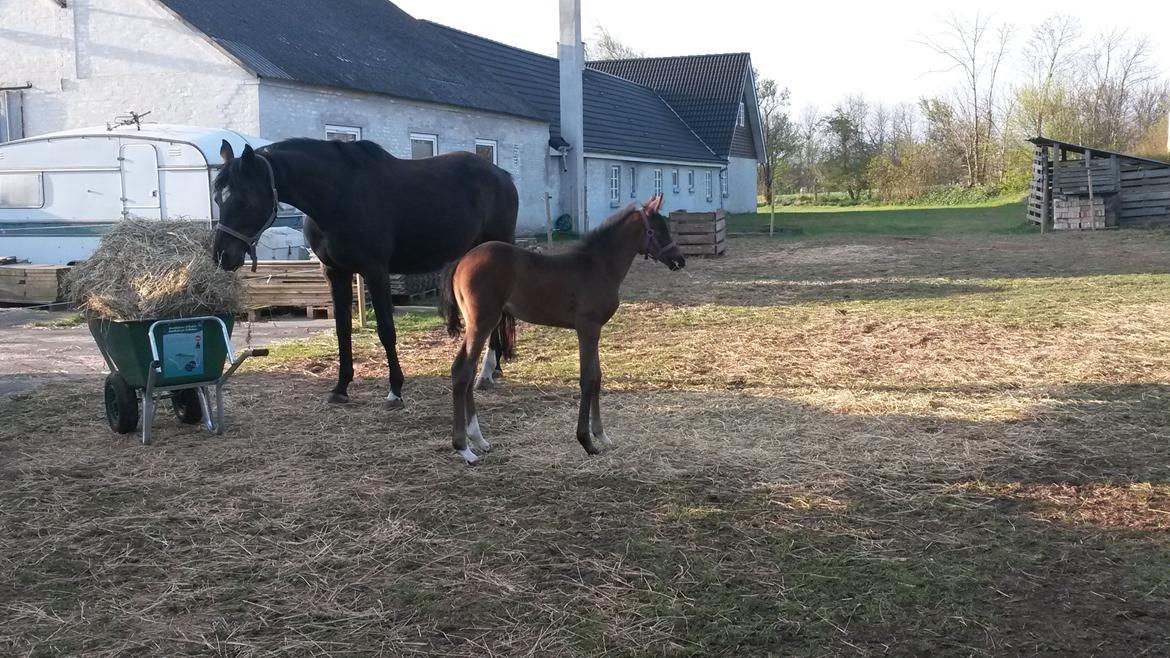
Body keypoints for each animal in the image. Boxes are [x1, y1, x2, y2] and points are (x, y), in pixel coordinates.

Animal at [215, 138, 517, 405]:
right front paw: (340, 388)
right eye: (218, 198)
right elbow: (342, 330)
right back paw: (493, 368)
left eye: (244, 201)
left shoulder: (375, 271)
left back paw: (486, 372)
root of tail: (502, 176)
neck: (337, 197)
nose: (222, 255)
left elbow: (386, 330)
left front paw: (395, 390)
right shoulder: (335, 273)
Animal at [442, 193, 687, 461]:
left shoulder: (595, 330)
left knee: (466, 369)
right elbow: (588, 379)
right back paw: (464, 449)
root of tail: (462, 260)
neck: (598, 266)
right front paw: (586, 441)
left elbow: (598, 377)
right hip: (482, 322)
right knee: (463, 370)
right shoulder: (587, 327)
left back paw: (478, 439)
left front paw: (602, 435)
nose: (679, 260)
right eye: (658, 230)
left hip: (479, 324)